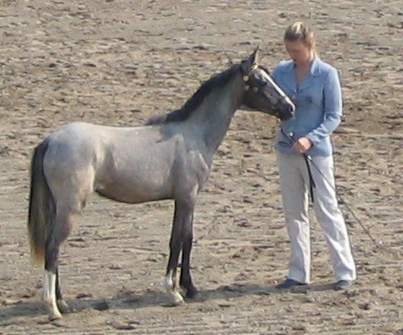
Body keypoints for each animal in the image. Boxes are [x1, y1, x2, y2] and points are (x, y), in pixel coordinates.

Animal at [27, 49, 294, 320]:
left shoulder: (188, 199)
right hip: (71, 207)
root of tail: (50, 140)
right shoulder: (186, 197)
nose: (290, 108)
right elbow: (177, 240)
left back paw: (62, 303)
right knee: (53, 247)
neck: (193, 134)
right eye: (261, 82)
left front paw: (191, 288)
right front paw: (173, 292)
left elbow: (187, 239)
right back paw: (52, 308)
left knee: (53, 248)